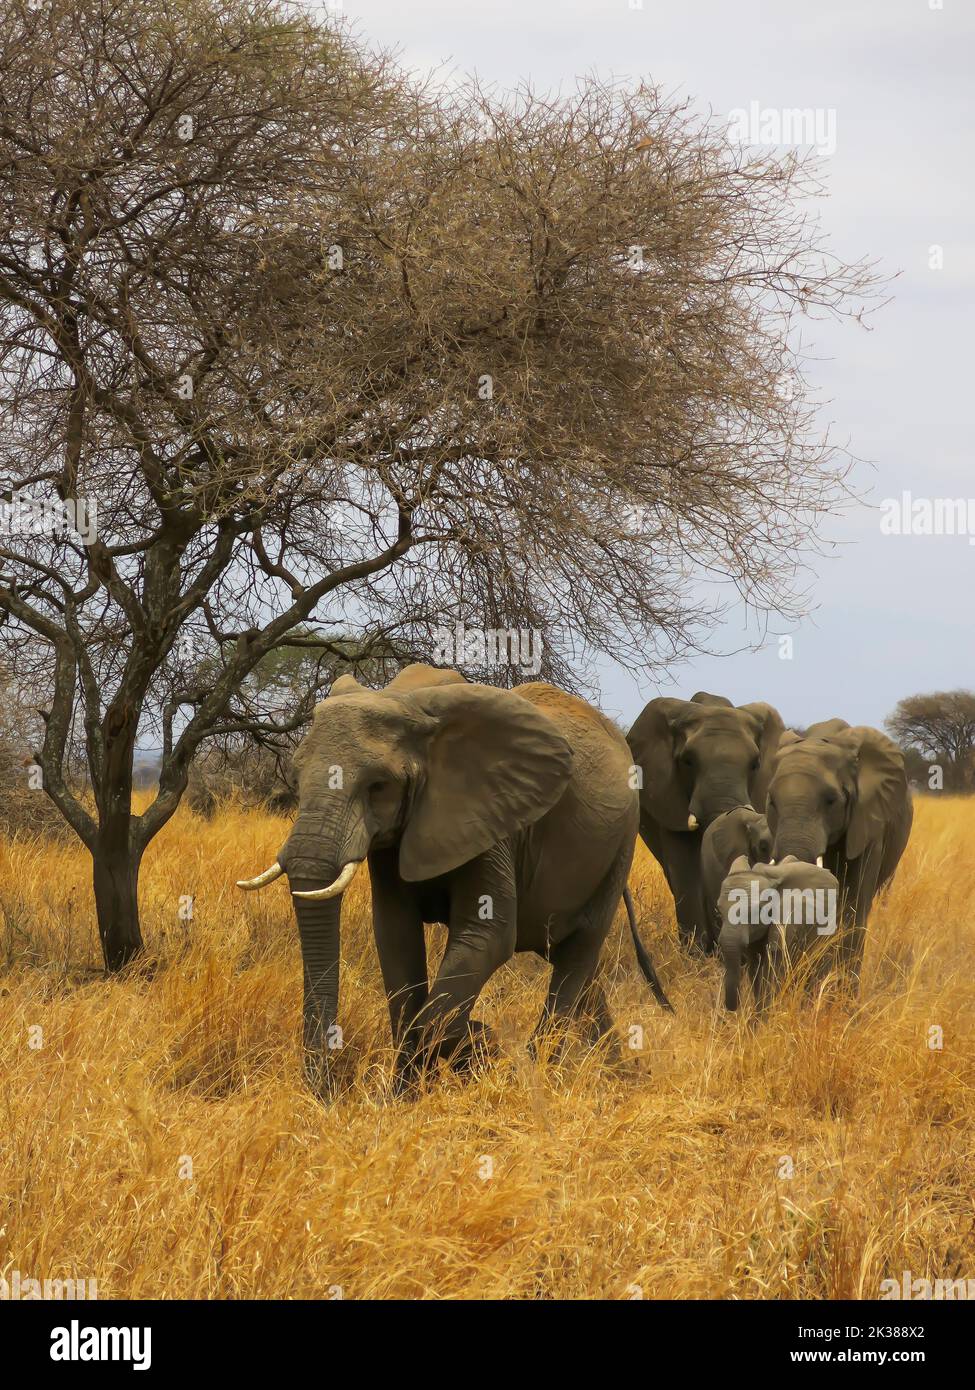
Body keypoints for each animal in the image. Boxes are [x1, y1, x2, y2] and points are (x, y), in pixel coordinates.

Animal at [236, 661, 670, 1095]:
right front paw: (405, 1097)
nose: (325, 1092)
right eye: (295, 777)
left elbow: (488, 935)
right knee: (575, 963)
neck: (404, 700)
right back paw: (619, 1073)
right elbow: (396, 938)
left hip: (622, 842)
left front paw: (482, 1042)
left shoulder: (490, 818)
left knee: (579, 952)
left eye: (379, 785)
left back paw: (541, 1072)